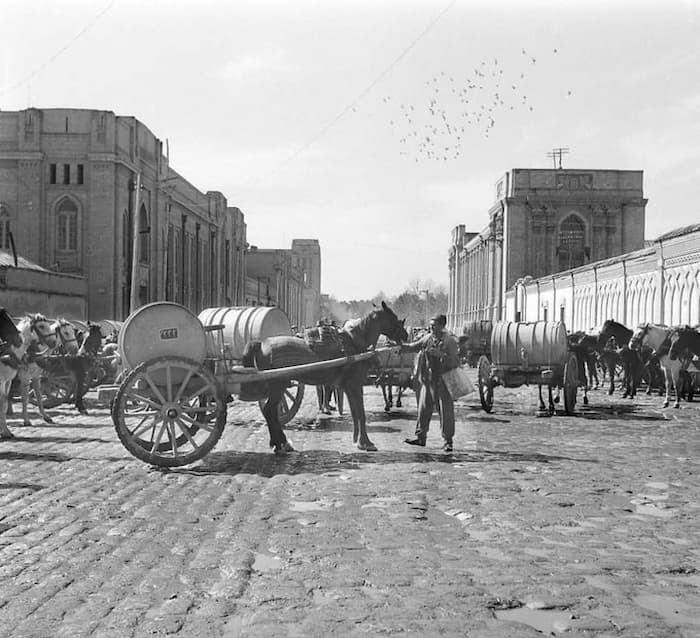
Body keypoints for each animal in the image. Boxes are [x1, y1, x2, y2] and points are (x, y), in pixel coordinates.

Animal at [243, 304, 408, 456]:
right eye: (393, 317)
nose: (406, 334)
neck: (354, 344)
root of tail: (262, 343)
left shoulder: (348, 387)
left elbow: (355, 413)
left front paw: (357, 441)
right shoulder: (355, 384)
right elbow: (361, 413)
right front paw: (366, 442)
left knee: (270, 412)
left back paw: (281, 443)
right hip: (278, 386)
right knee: (270, 411)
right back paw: (280, 443)